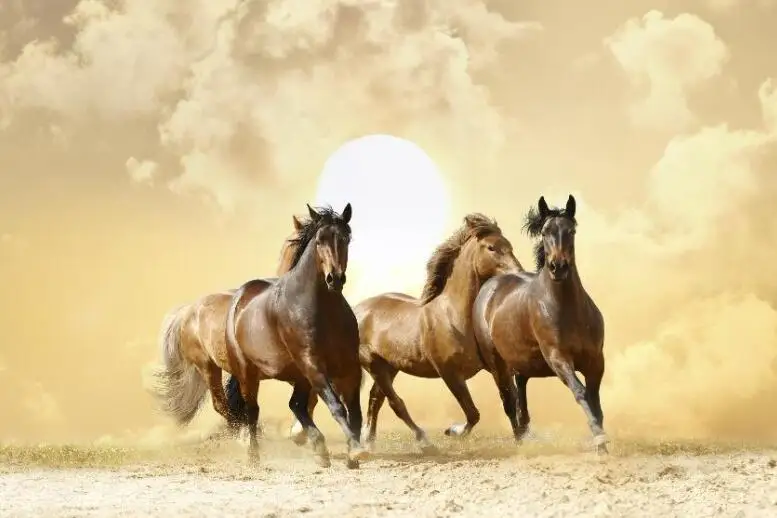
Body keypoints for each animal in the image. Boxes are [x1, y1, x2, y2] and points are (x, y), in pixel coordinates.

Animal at [224, 203, 368, 469]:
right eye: (320, 240)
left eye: (346, 239)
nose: (335, 279)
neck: (323, 309)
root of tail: (240, 297)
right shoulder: (313, 364)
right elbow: (336, 406)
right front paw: (356, 450)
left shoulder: (349, 367)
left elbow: (354, 413)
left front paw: (353, 454)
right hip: (249, 372)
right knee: (253, 410)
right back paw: (254, 456)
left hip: (299, 375)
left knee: (296, 405)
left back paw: (320, 450)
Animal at [285, 213, 523, 453]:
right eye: (491, 247)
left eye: (509, 245)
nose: (518, 273)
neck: (453, 316)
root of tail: (357, 310)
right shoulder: (449, 373)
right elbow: (473, 413)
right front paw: (452, 431)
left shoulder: (496, 366)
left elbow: (510, 403)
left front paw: (522, 441)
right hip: (374, 365)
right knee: (394, 402)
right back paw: (423, 441)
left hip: (389, 366)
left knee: (375, 399)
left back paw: (367, 440)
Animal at [472, 195, 609, 453]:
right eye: (545, 232)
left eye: (571, 230)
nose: (558, 267)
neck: (567, 310)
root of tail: (490, 286)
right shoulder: (558, 358)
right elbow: (581, 393)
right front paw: (600, 440)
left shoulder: (596, 361)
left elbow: (595, 401)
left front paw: (602, 444)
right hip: (497, 365)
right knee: (508, 402)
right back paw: (520, 443)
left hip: (521, 364)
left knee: (521, 401)